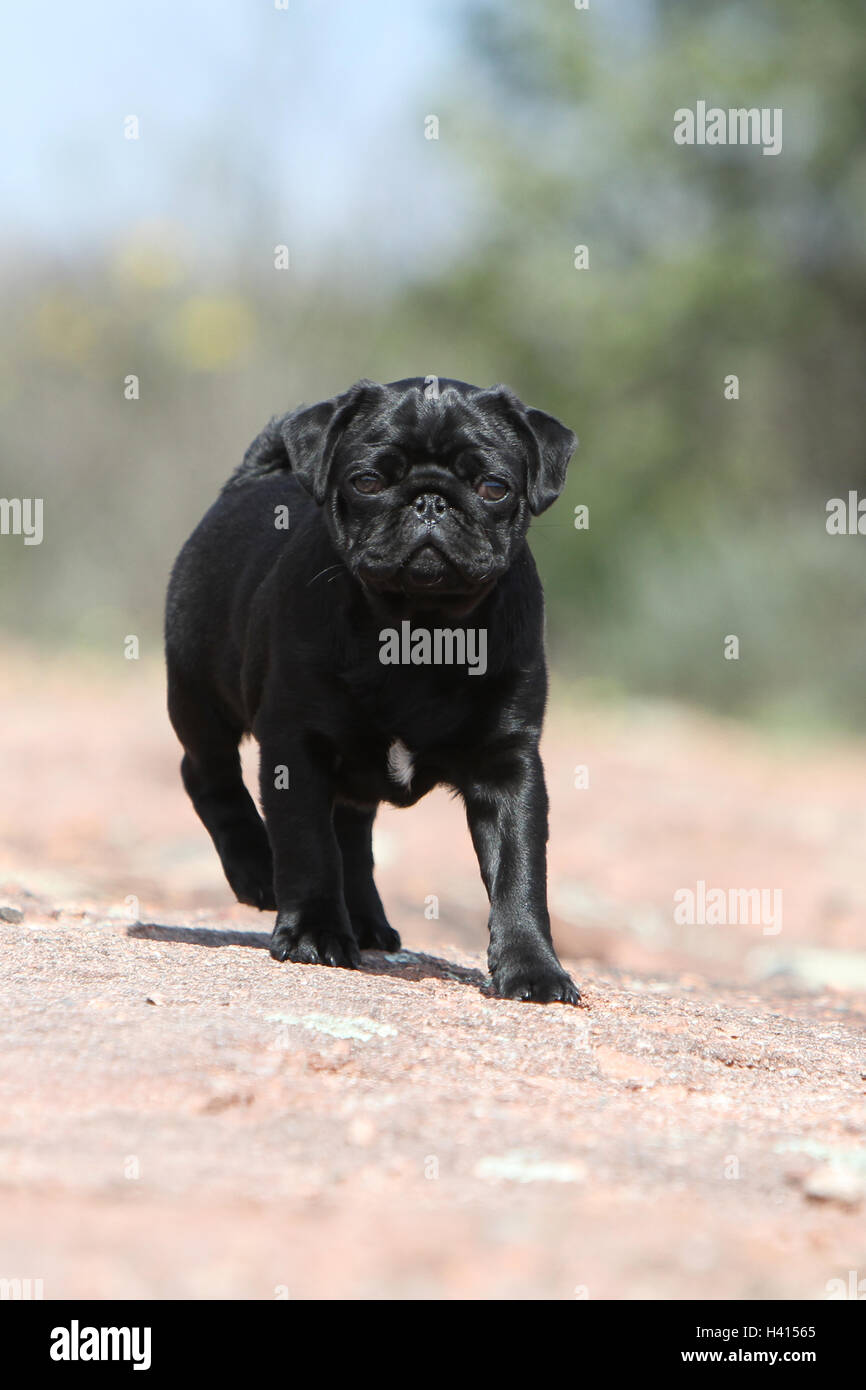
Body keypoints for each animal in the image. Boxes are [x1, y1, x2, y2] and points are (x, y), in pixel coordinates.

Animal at [164, 380, 583, 1006]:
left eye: (493, 487)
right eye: (366, 482)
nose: (430, 500)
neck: (420, 632)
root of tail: (251, 479)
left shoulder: (509, 766)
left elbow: (519, 872)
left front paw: (533, 966)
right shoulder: (296, 747)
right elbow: (308, 846)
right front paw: (313, 933)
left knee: (352, 836)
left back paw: (363, 921)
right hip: (199, 696)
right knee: (207, 775)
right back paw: (256, 870)